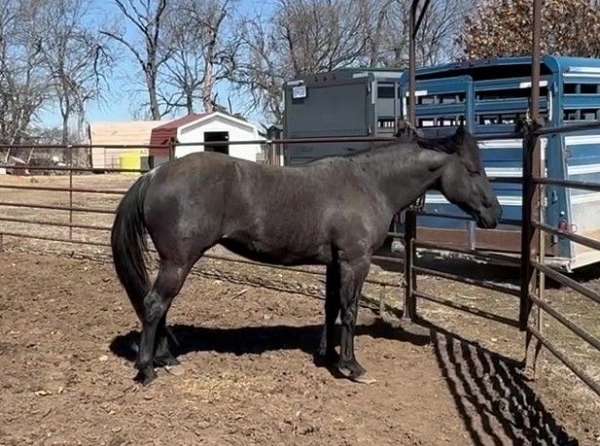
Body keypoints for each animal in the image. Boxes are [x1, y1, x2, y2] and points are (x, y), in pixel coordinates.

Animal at [111, 123, 502, 386]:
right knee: (154, 305)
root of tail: (155, 174)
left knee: (160, 307)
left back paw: (166, 359)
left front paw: (326, 355)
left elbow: (331, 308)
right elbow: (349, 311)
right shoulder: (355, 262)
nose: (495, 214)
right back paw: (147, 369)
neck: (369, 184)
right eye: (473, 170)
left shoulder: (334, 263)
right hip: (178, 262)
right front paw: (352, 367)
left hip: (175, 263)